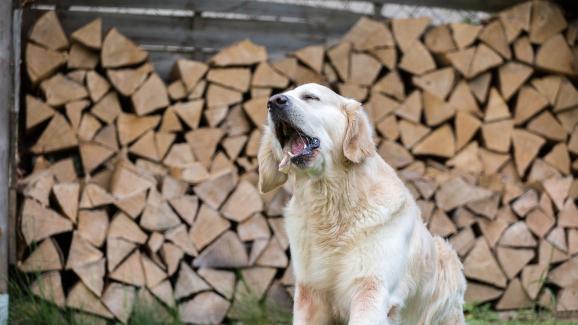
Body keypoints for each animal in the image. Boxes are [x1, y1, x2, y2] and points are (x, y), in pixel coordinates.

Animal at [256, 82, 464, 322]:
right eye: (274, 99)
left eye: (310, 97)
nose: (273, 102)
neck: (331, 204)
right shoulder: (310, 293)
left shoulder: (371, 288)